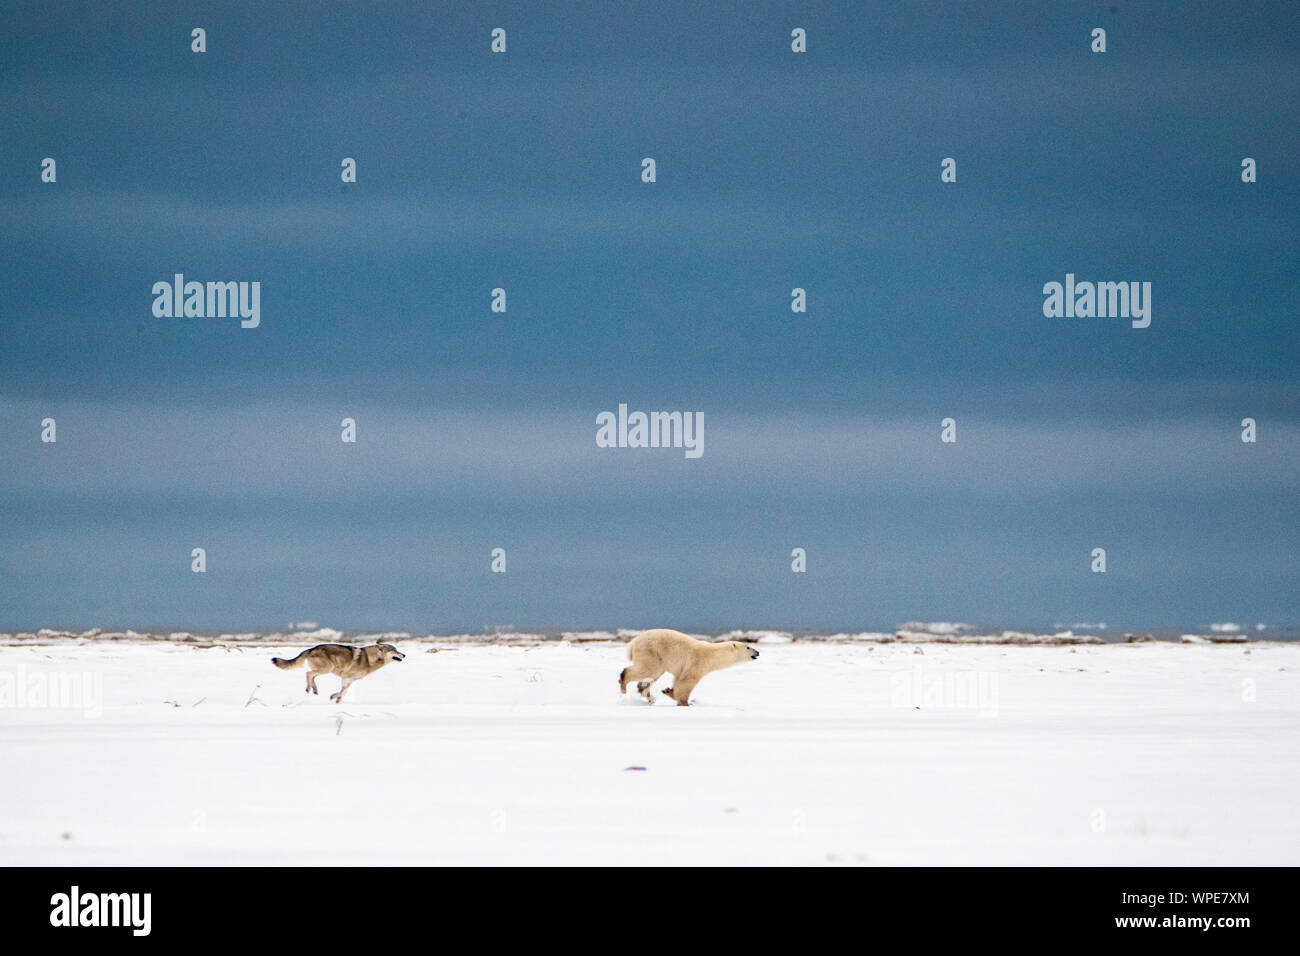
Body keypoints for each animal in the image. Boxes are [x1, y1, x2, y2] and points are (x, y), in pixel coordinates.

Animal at [271, 643, 405, 702]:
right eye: (394, 650)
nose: (404, 655)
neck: (370, 660)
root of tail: (310, 649)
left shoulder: (350, 680)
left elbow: (343, 692)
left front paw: (336, 699)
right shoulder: (346, 678)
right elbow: (343, 691)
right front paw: (335, 698)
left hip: (324, 670)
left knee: (312, 676)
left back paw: (314, 690)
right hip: (327, 668)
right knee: (308, 674)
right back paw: (309, 689)